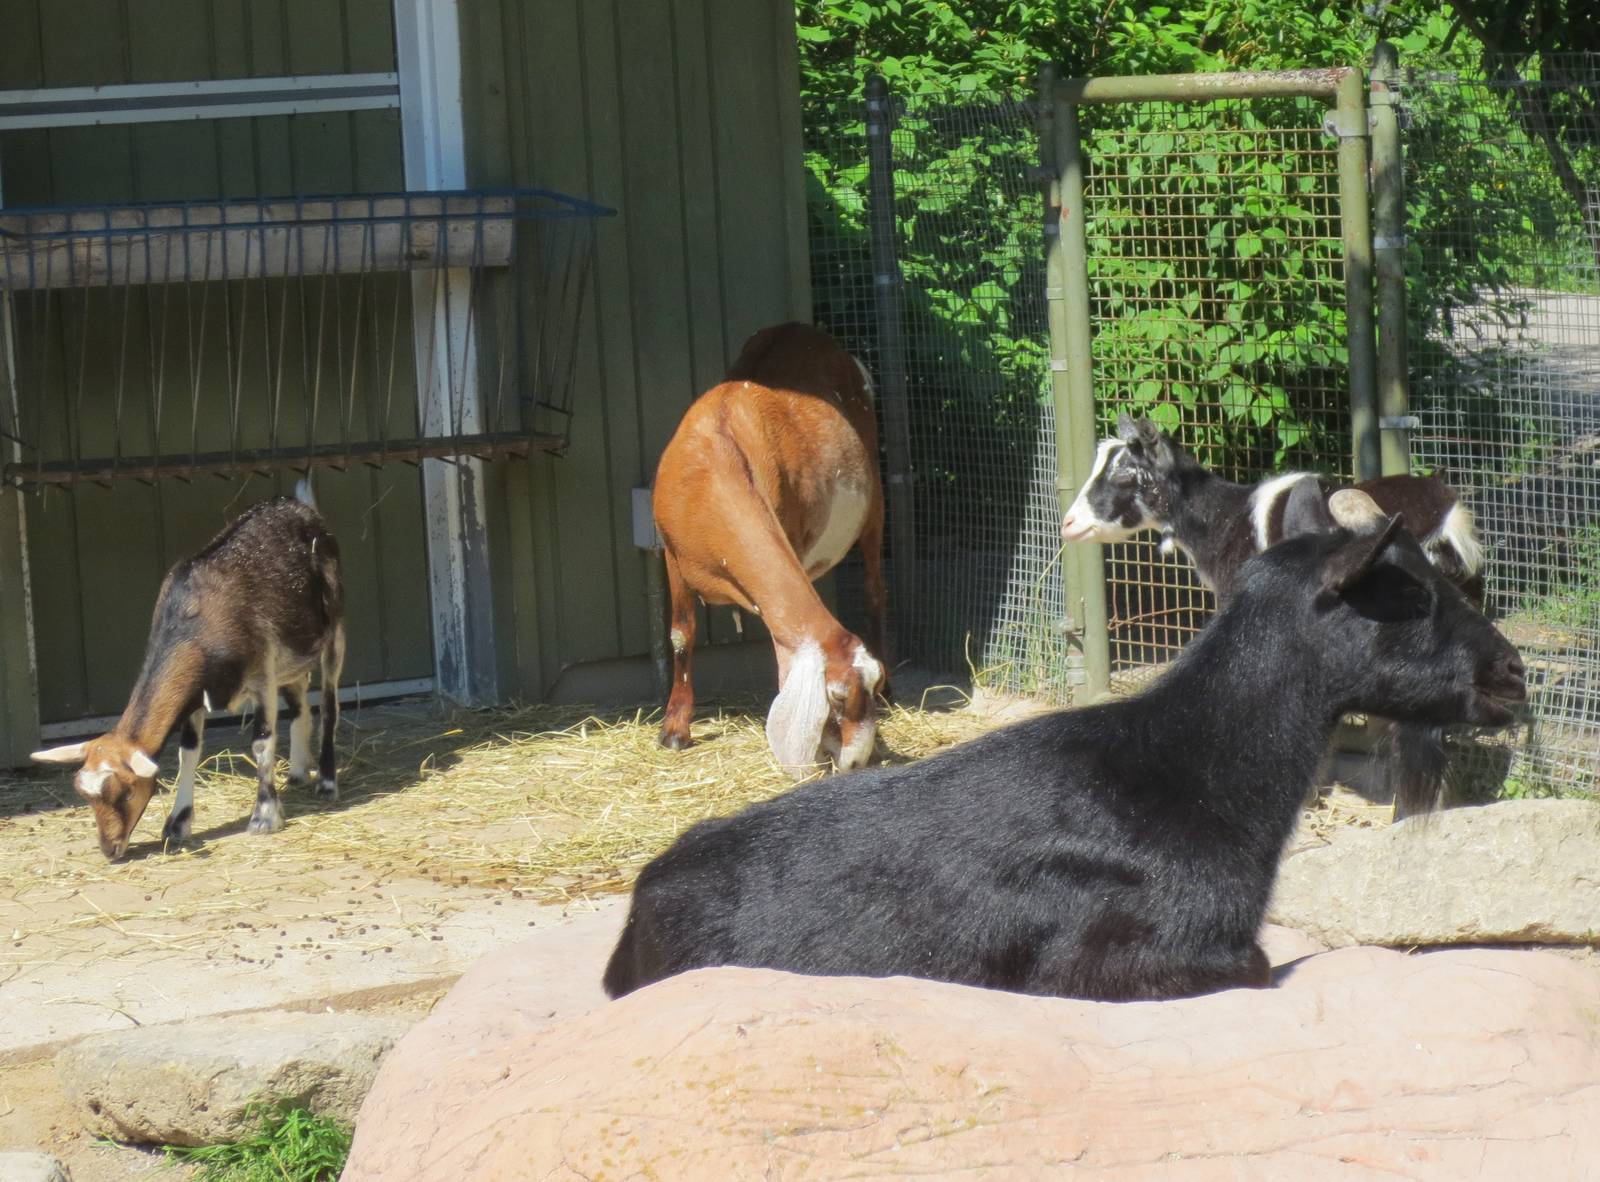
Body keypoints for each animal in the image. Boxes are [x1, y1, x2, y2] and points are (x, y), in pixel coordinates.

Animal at [31, 482, 345, 860]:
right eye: (84, 794)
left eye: (126, 792)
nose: (110, 849)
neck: (199, 624)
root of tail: (300, 506)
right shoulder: (196, 692)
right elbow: (189, 753)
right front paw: (177, 823)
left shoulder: (262, 676)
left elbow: (261, 742)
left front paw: (265, 817)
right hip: (293, 656)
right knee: (301, 703)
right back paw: (298, 771)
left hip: (334, 629)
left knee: (329, 703)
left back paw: (326, 781)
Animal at [603, 482, 1525, 1002]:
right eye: (1415, 594)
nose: (1512, 673)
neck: (1197, 771)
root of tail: (641, 901)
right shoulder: (1126, 957)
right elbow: (1259, 966)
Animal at [652, 322, 887, 778]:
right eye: (836, 697)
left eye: (871, 684)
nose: (855, 763)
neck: (717, 467)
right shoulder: (670, 551)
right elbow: (680, 636)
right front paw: (674, 732)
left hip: (874, 502)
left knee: (874, 589)